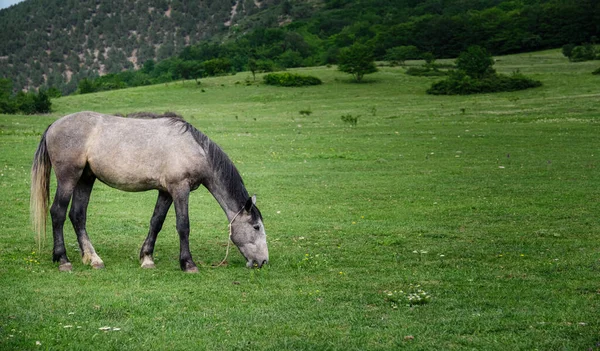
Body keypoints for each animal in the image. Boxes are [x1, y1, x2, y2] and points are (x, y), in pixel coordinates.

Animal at [29, 111, 270, 274]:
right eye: (256, 227)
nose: (263, 261)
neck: (193, 148)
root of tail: (54, 125)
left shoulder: (165, 192)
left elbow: (157, 222)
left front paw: (147, 258)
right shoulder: (180, 189)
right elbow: (183, 226)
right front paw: (188, 263)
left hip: (86, 178)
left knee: (77, 215)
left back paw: (93, 258)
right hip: (68, 177)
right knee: (58, 213)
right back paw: (63, 259)